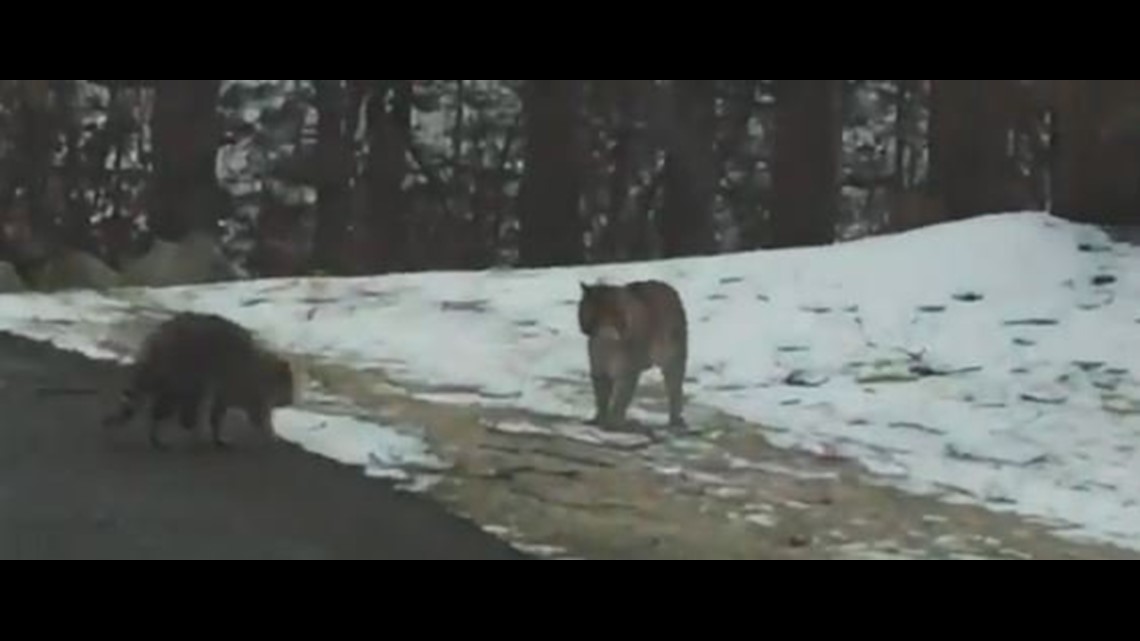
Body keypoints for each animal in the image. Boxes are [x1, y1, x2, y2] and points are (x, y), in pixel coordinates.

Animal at [102, 312, 295, 449]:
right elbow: (257, 415)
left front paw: (217, 434)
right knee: (178, 402)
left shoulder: (230, 391)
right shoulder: (245, 384)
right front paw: (272, 436)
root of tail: (158, 338)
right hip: (185, 366)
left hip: (173, 371)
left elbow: (219, 412)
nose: (291, 401)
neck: (264, 369)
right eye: (290, 387)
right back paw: (175, 429)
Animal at [577, 279, 688, 429]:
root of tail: (668, 287)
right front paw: (599, 419)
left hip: (674, 360)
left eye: (616, 312)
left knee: (675, 389)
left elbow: (621, 398)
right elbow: (601, 397)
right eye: (595, 312)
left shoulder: (628, 372)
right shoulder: (599, 370)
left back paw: (675, 420)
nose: (606, 330)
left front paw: (614, 422)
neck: (609, 344)